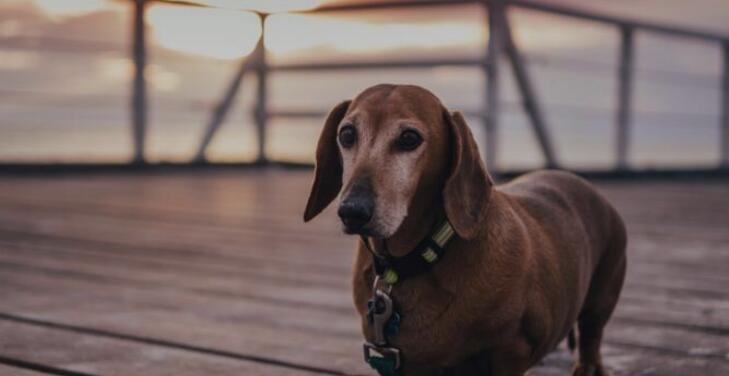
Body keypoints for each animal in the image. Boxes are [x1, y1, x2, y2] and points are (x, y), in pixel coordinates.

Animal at [302, 85, 624, 376]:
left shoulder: (512, 349)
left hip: (601, 297)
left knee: (592, 334)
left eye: (409, 138)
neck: (413, 262)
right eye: (346, 135)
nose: (352, 211)